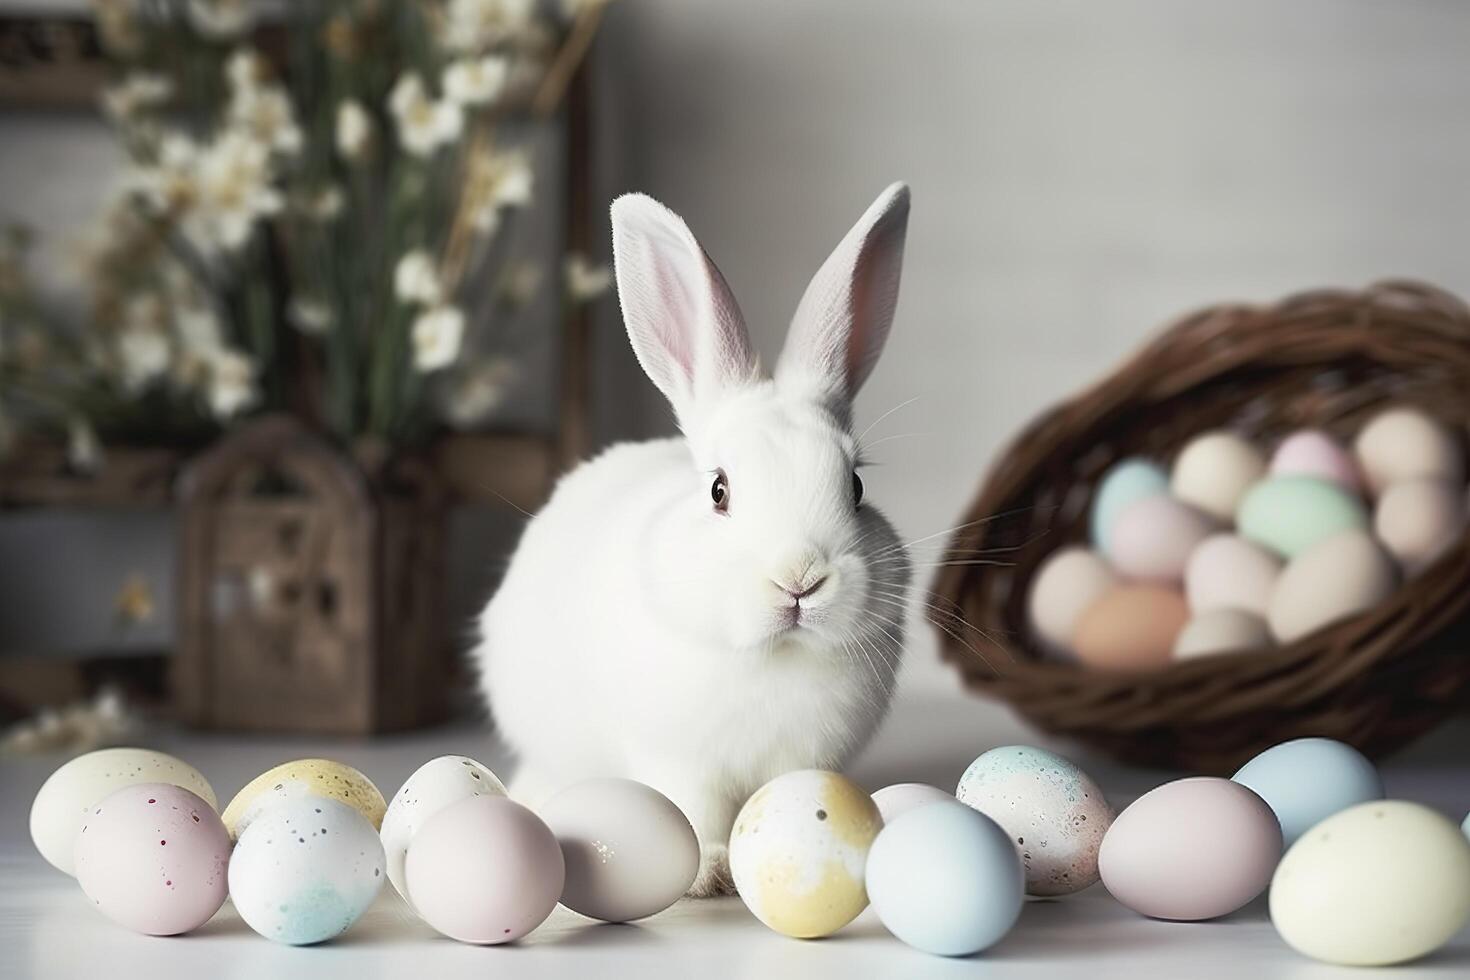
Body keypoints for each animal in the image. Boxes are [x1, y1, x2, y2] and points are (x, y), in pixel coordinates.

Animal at [470, 183, 911, 899]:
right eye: (719, 491)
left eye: (856, 486)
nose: (799, 579)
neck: (772, 658)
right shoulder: (677, 761)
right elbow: (690, 812)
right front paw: (707, 872)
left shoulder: (805, 759)